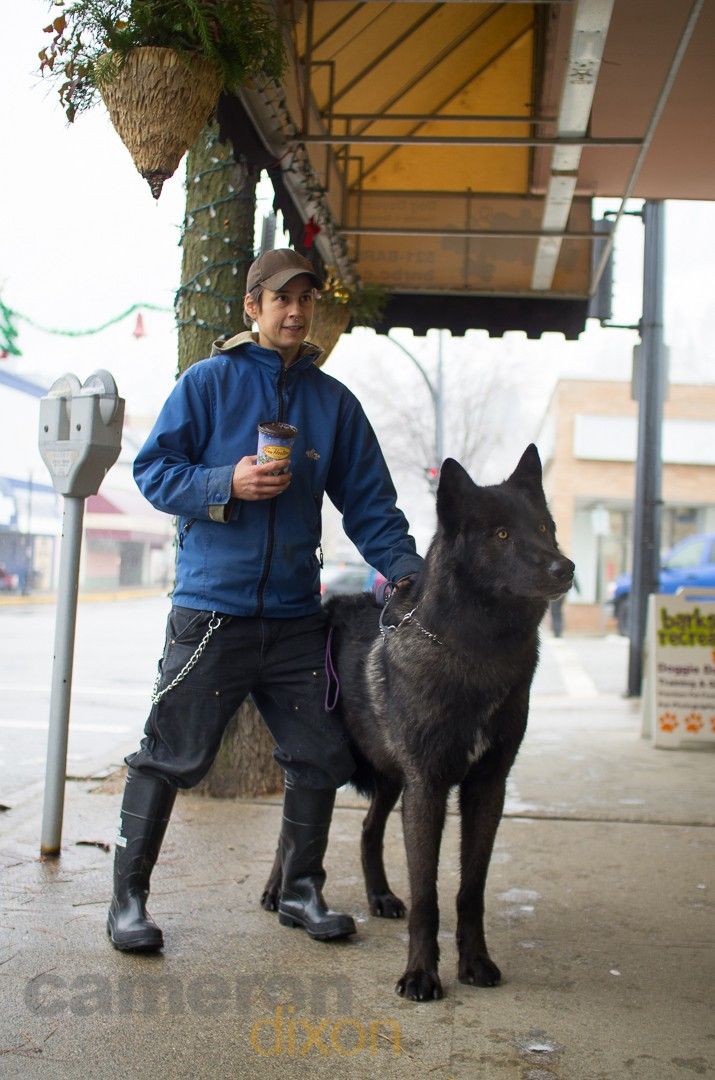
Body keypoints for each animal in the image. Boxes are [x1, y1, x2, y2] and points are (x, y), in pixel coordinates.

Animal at [263, 442, 570, 997]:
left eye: (543, 528)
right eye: (501, 535)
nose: (567, 568)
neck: (477, 655)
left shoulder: (485, 788)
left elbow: (471, 889)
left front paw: (475, 963)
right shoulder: (427, 786)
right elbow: (428, 893)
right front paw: (421, 974)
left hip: (390, 779)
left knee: (368, 831)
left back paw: (380, 896)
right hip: (325, 766)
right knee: (288, 830)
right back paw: (279, 890)